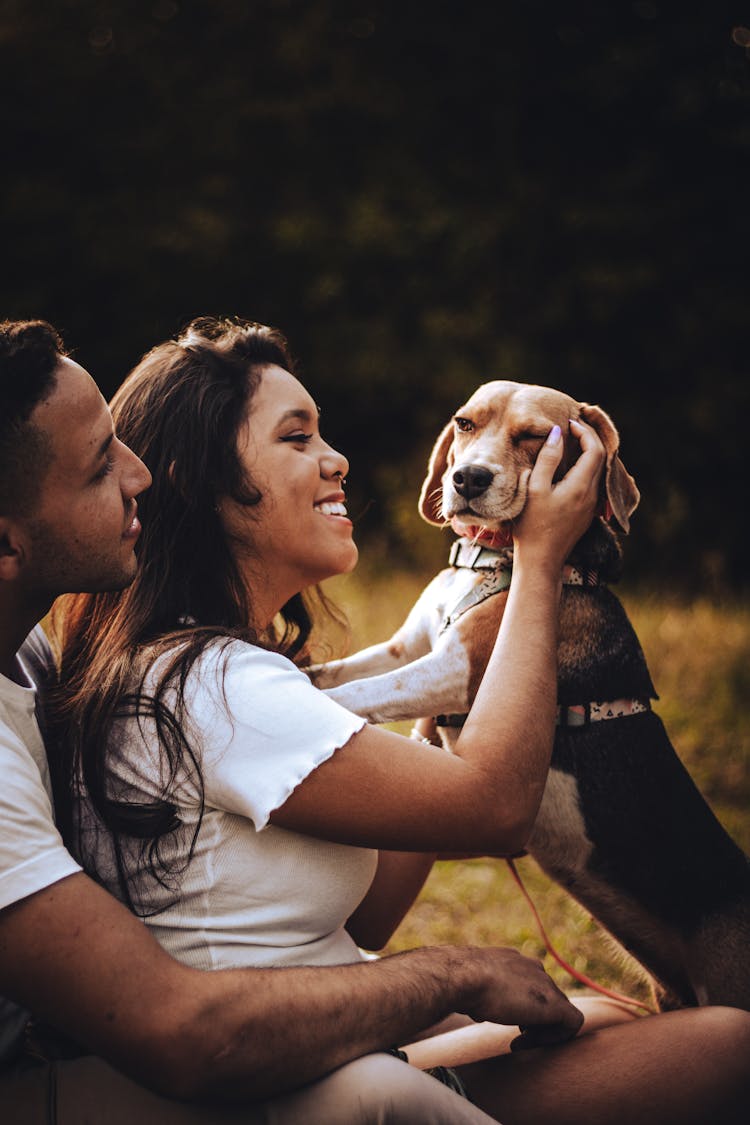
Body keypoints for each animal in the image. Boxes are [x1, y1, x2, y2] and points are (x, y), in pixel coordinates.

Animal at [310, 378, 750, 1012]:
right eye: (465, 424)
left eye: (535, 437)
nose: (467, 478)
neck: (486, 562)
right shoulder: (407, 645)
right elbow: (334, 674)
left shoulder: (458, 668)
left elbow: (361, 693)